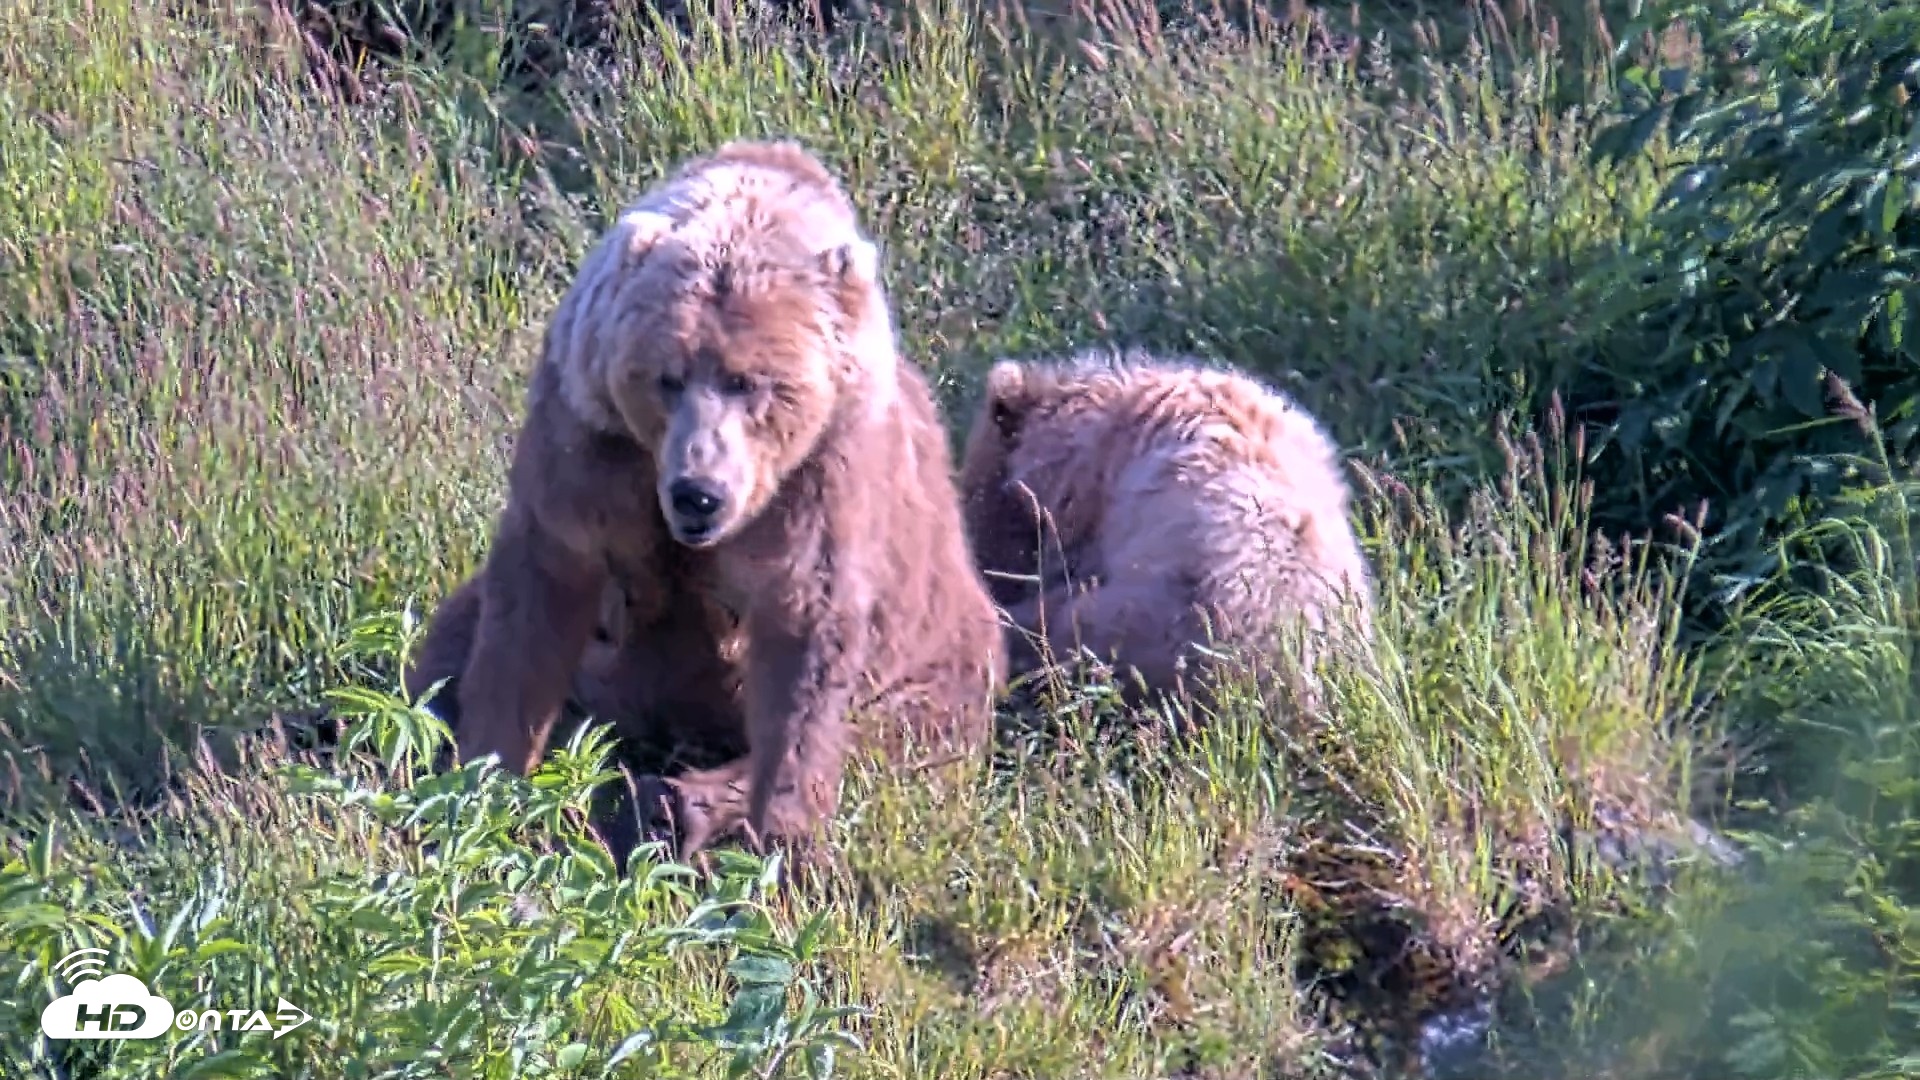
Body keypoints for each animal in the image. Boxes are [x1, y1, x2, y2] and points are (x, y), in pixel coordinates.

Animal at [402, 137, 1008, 861]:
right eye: (667, 377)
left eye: (751, 382)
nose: (699, 494)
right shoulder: (590, 441)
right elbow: (536, 602)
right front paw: (482, 781)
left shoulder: (822, 475)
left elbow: (805, 636)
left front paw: (784, 835)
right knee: (447, 646)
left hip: (944, 657)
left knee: (895, 734)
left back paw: (679, 802)